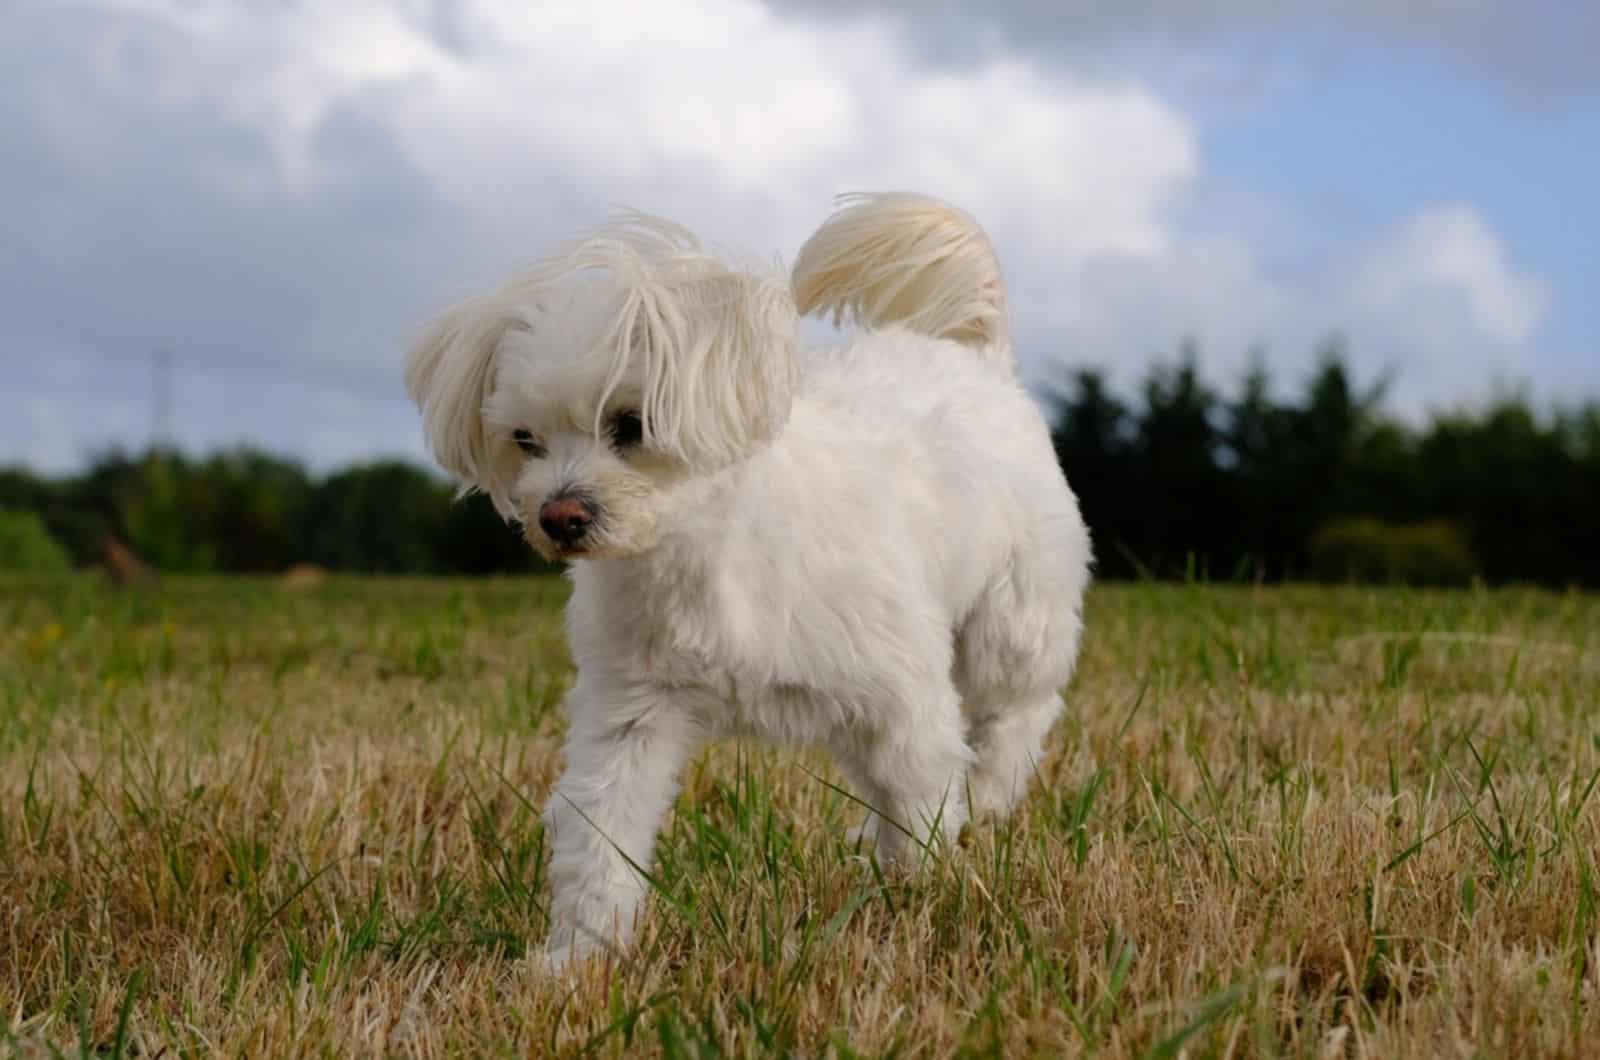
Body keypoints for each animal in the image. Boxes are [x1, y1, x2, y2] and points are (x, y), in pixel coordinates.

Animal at [406, 191, 1094, 973]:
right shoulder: (630, 717)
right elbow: (600, 839)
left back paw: (989, 796)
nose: (560, 516)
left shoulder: (903, 699)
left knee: (1018, 713)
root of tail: (978, 358)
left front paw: (926, 901)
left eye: (630, 424)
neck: (705, 556)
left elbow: (922, 799)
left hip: (1011, 622)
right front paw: (579, 957)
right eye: (525, 440)